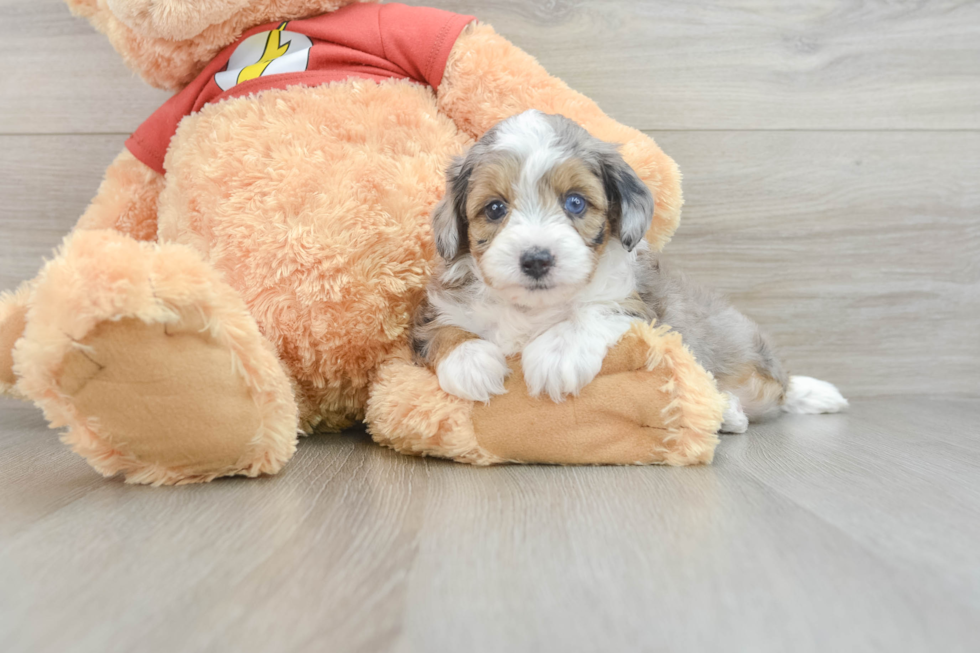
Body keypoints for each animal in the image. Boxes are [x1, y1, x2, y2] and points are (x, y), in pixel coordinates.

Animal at [410, 109, 848, 430]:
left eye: (575, 202)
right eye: (495, 208)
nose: (536, 259)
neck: (533, 310)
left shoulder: (643, 309)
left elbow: (598, 312)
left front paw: (558, 353)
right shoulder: (435, 311)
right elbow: (443, 328)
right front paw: (469, 361)